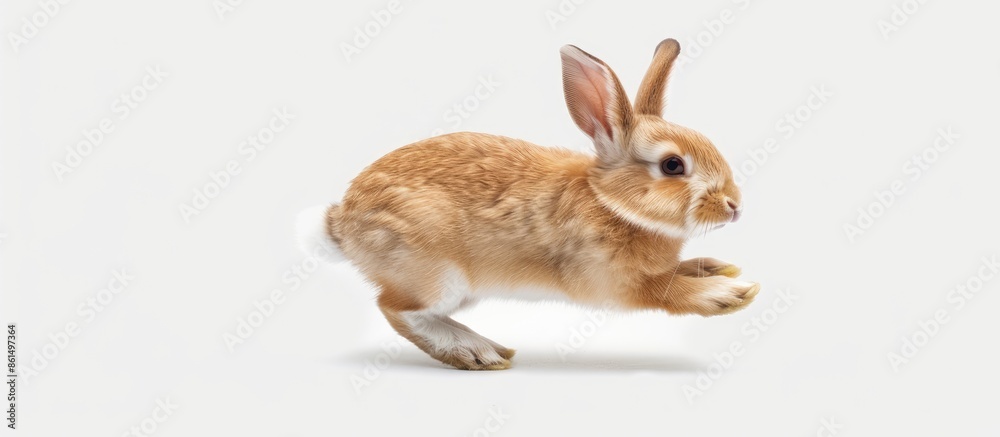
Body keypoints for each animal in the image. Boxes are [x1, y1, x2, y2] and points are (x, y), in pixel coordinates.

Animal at [298, 39, 759, 370]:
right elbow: (664, 290)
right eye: (672, 165)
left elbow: (677, 271)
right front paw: (727, 294)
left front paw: (715, 269)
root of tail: (342, 224)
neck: (610, 202)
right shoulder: (614, 282)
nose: (734, 206)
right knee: (396, 309)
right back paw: (475, 352)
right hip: (436, 273)